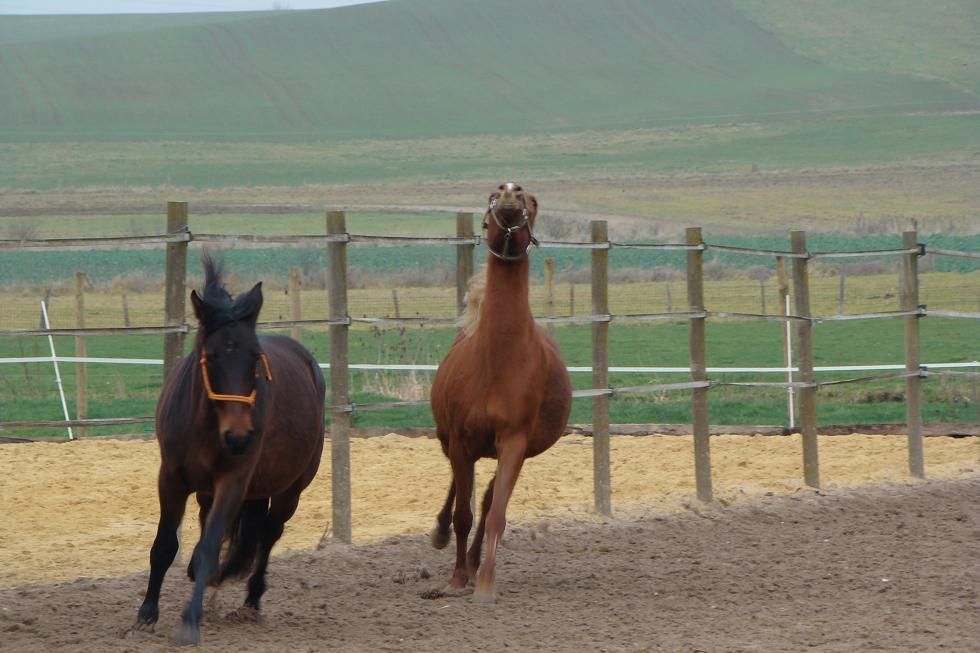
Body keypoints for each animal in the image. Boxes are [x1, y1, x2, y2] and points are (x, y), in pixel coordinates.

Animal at [133, 254, 325, 645]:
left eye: (255, 357)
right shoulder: (171, 478)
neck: (205, 428)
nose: (239, 436)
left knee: (269, 534)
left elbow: (209, 548)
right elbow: (165, 546)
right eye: (212, 355)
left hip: (290, 489)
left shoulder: (233, 482)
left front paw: (189, 620)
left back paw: (251, 600)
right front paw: (146, 613)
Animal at [429, 182, 572, 602]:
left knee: (490, 496)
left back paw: (476, 562)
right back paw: (441, 536)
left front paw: (485, 581)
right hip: (450, 440)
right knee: (457, 493)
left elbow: (495, 514)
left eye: (533, 201)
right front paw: (456, 577)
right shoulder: (461, 441)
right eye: (493, 194)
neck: (496, 358)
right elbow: (463, 513)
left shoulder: (513, 442)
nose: (511, 190)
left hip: (512, 449)